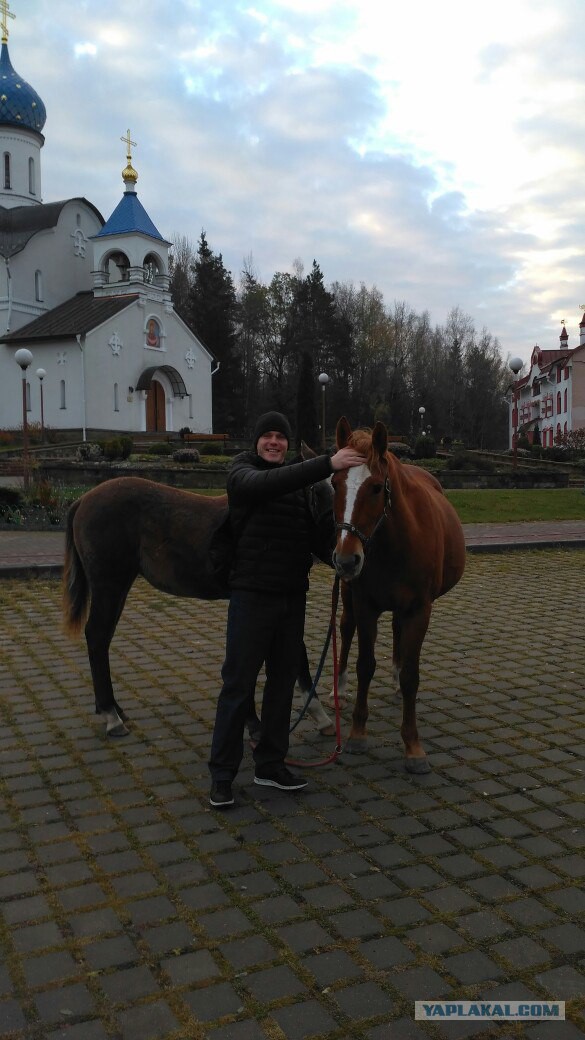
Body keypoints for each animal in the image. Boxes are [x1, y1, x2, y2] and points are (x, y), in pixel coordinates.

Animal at [62, 476, 333, 736]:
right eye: (317, 494)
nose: (341, 555)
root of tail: (83, 499)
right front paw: (257, 722)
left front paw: (320, 717)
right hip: (109, 585)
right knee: (96, 635)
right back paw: (111, 716)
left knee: (103, 638)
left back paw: (113, 709)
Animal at [331, 416, 462, 773]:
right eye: (334, 482)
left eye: (376, 487)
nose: (346, 560)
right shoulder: (365, 605)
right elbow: (365, 664)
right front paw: (357, 733)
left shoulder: (418, 610)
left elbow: (411, 677)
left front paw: (413, 746)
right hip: (348, 594)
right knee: (345, 629)